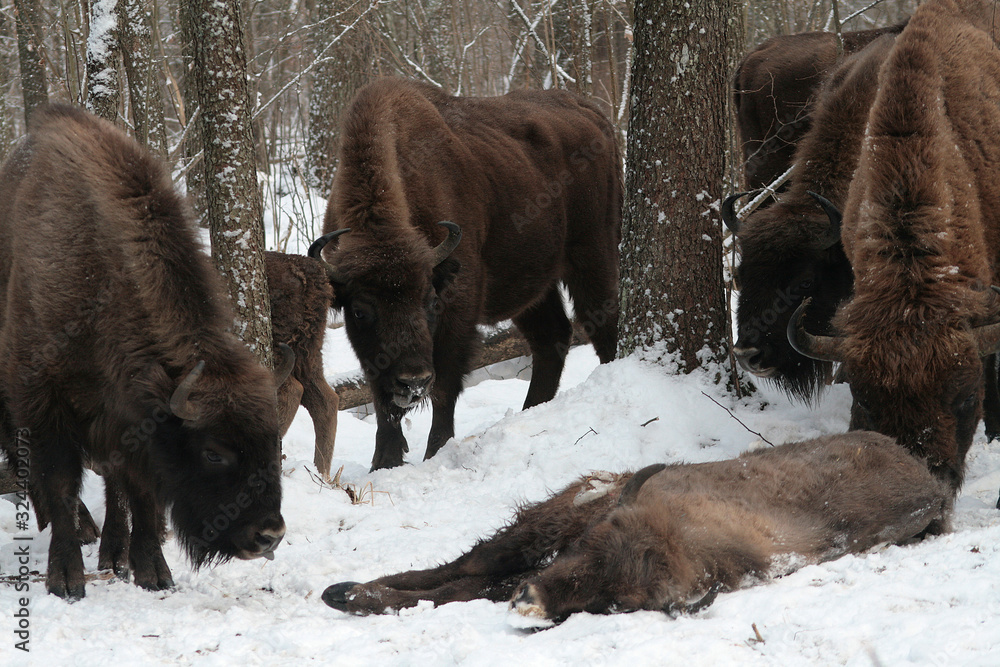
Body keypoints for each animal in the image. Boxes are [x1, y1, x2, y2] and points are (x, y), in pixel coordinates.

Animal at [0, 105, 286, 599]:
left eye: (274, 442)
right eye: (214, 452)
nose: (269, 535)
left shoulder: (130, 424)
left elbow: (141, 491)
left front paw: (153, 572)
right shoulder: (44, 401)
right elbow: (58, 480)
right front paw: (66, 579)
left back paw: (113, 552)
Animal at [310, 78, 622, 471]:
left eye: (430, 301)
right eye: (361, 310)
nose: (413, 381)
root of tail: (593, 113)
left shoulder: (458, 309)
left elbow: (445, 385)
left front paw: (434, 453)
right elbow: (381, 396)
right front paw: (384, 462)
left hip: (592, 254)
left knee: (602, 322)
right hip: (533, 284)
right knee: (553, 337)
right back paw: (532, 408)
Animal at [323, 432, 949, 622]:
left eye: (614, 602)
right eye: (590, 544)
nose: (532, 599)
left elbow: (461, 590)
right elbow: (455, 578)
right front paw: (353, 592)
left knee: (463, 578)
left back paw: (349, 592)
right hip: (533, 527)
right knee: (461, 564)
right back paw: (343, 590)